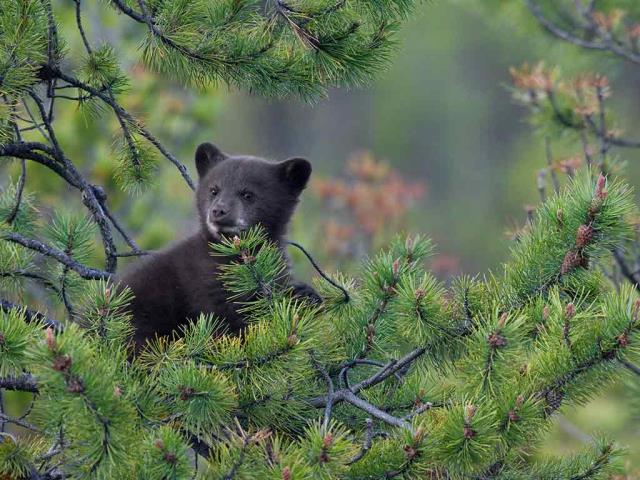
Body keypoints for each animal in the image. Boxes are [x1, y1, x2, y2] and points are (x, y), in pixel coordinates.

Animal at [118, 142, 320, 349]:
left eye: (248, 194)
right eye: (214, 190)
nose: (218, 211)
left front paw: (306, 295)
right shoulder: (203, 283)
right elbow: (224, 322)